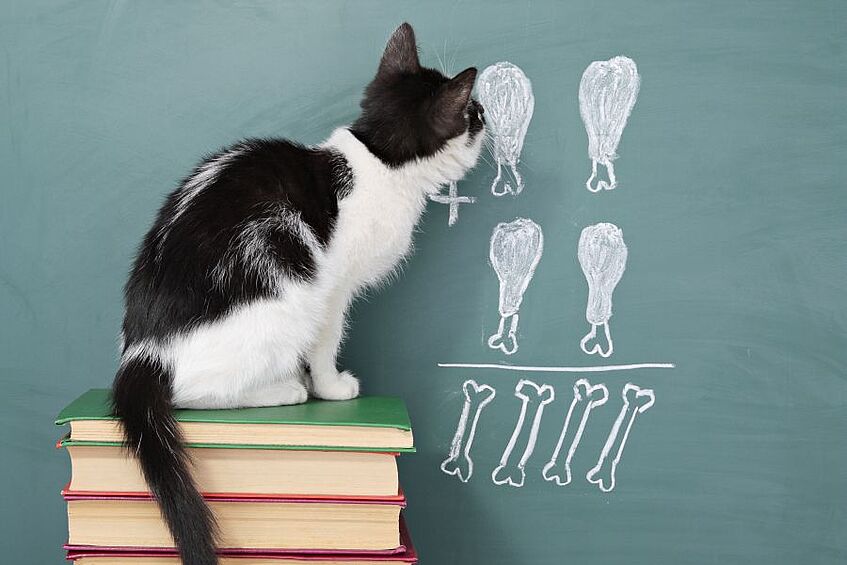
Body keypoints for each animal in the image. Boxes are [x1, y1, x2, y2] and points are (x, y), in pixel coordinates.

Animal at [110, 22, 486, 564]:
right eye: (472, 111)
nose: (487, 113)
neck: (380, 162)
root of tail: (143, 348)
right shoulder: (333, 289)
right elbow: (328, 341)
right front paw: (330, 386)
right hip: (290, 299)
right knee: (191, 393)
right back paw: (283, 388)